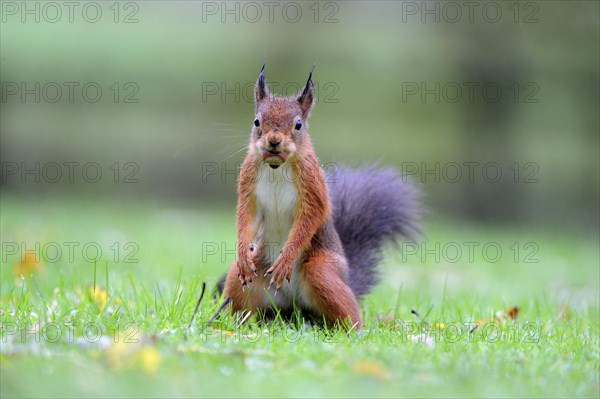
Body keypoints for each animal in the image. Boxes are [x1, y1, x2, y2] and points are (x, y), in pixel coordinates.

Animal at [219, 65, 418, 328]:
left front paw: (286, 257)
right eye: (257, 121)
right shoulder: (248, 183)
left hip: (323, 271)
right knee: (243, 298)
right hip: (244, 278)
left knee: (348, 312)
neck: (277, 166)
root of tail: (293, 306)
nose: (274, 141)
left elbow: (312, 216)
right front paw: (242, 252)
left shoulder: (312, 185)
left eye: (298, 124)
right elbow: (246, 217)